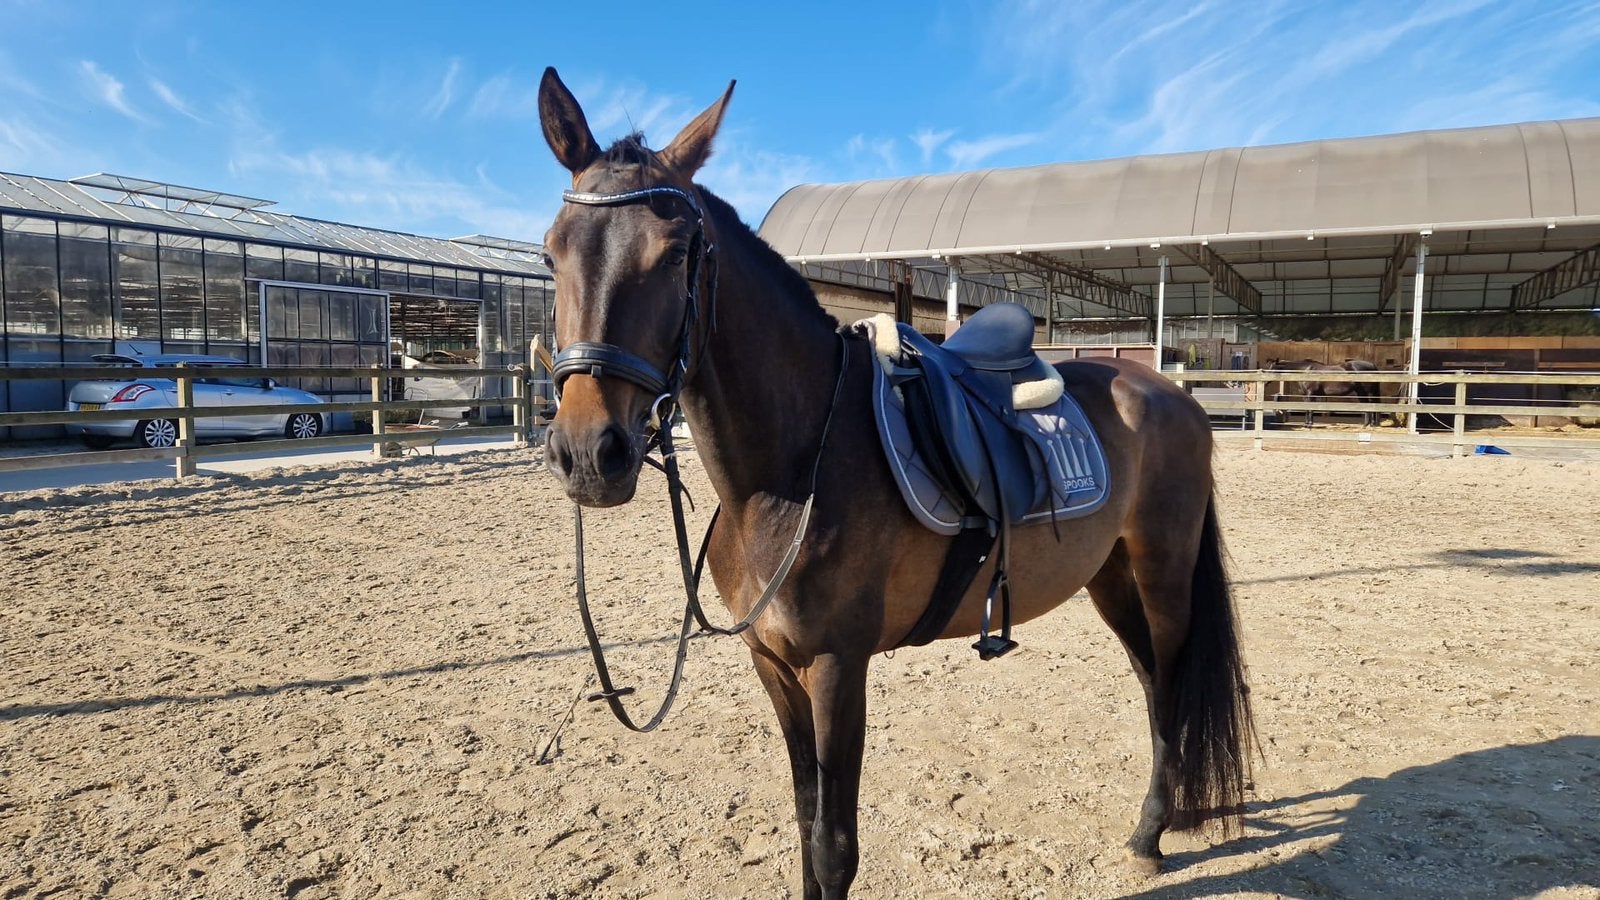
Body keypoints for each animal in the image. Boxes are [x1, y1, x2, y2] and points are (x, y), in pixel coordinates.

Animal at [535, 67, 1256, 898]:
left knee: (1169, 681)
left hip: (1163, 573)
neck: (791, 470)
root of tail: (1172, 394)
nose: (589, 453)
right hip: (1108, 575)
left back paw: (1152, 834)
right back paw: (1147, 829)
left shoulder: (837, 668)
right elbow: (804, 822)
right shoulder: (775, 666)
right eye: (550, 252)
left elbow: (834, 846)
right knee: (1147, 680)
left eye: (679, 250)